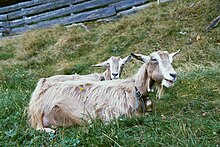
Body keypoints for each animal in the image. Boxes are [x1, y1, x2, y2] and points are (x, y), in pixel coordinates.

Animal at [27, 50, 180, 133]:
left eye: (171, 60)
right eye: (154, 59)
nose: (173, 75)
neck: (135, 88)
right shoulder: (113, 113)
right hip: (41, 115)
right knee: (39, 128)